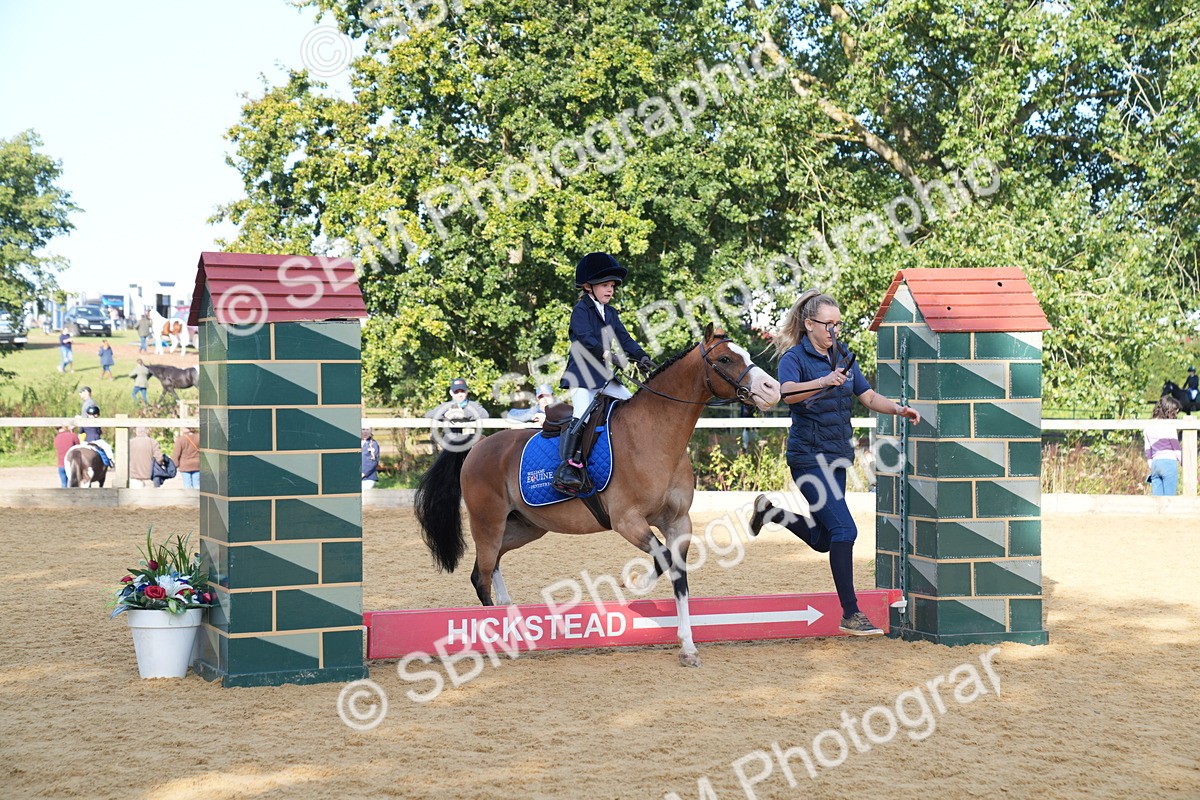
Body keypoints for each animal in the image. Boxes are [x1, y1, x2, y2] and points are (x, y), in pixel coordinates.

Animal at [415, 325, 781, 667]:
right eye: (725, 359)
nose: (772, 389)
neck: (655, 434)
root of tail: (477, 447)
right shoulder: (627, 521)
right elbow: (662, 558)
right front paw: (636, 585)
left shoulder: (679, 521)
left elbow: (677, 572)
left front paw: (688, 647)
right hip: (488, 522)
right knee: (481, 575)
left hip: (523, 526)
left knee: (492, 565)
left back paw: (506, 611)